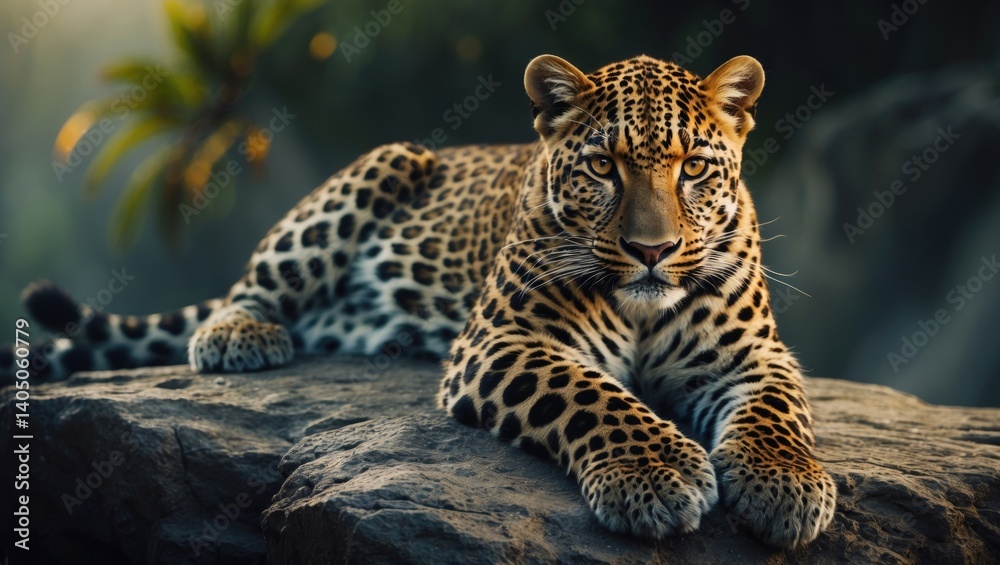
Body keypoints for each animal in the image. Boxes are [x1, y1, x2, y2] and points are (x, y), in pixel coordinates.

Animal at [2, 54, 836, 548]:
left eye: (694, 166)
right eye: (603, 166)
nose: (652, 251)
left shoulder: (752, 355)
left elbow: (779, 411)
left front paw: (789, 486)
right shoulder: (505, 340)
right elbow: (591, 394)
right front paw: (656, 473)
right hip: (384, 163)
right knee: (248, 291)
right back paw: (241, 334)